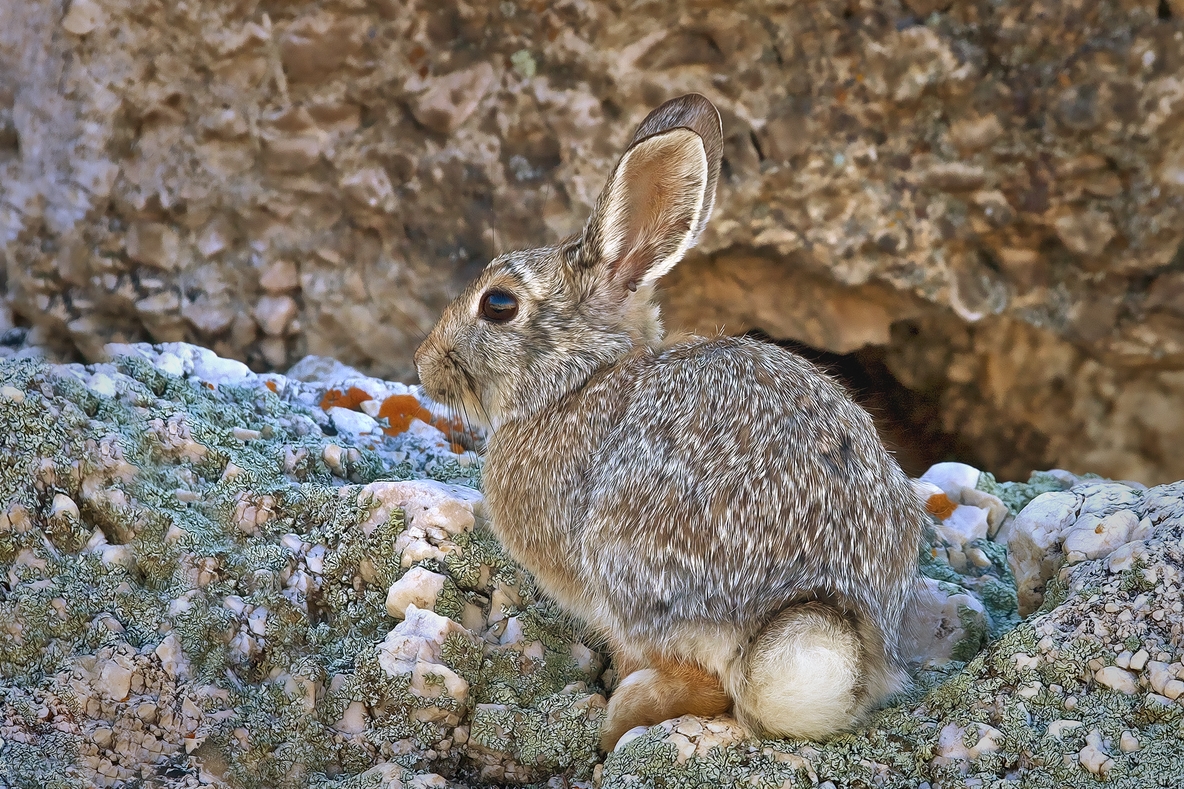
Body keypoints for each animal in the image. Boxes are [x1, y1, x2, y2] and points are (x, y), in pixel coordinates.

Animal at [414, 93, 923, 748]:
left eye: (498, 305)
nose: (423, 364)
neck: (581, 377)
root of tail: (822, 607)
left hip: (626, 563)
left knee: (700, 682)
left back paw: (615, 719)